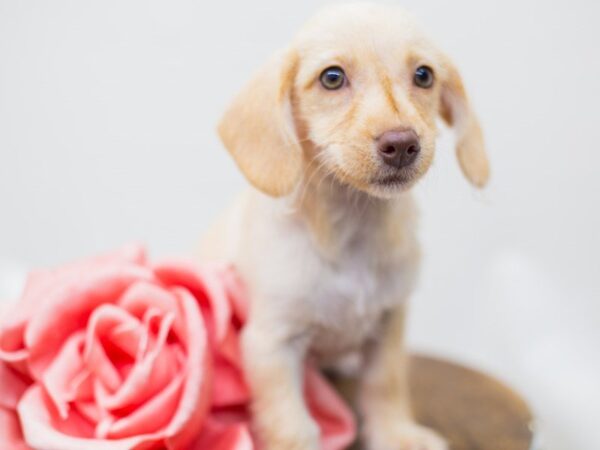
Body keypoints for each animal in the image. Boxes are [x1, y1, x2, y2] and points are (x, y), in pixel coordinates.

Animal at [202, 3, 488, 450]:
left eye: (424, 75)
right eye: (332, 77)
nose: (401, 145)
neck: (353, 230)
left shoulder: (388, 325)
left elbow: (385, 384)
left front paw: (395, 433)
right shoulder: (271, 343)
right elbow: (292, 424)